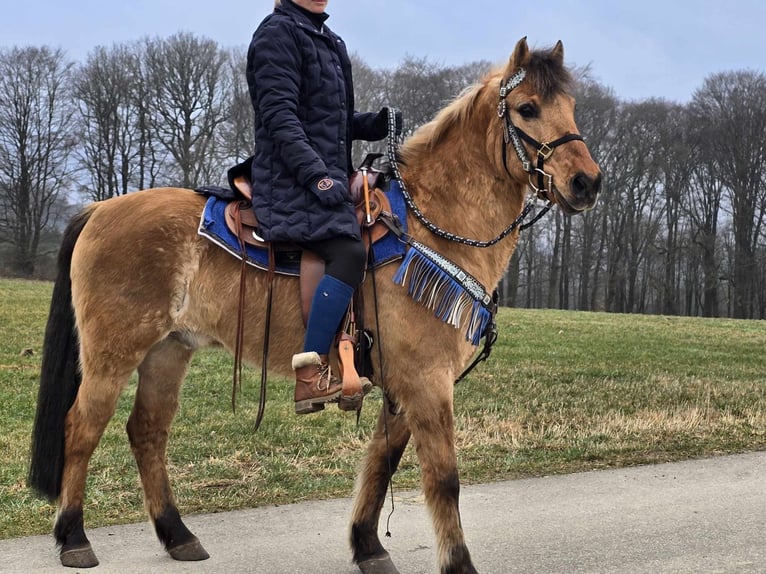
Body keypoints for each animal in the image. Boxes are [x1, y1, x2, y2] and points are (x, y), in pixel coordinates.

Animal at [30, 38, 604, 572]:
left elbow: (381, 463)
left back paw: (177, 535)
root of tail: (99, 208)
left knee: (147, 432)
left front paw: (367, 545)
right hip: (113, 353)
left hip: (168, 351)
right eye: (527, 108)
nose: (587, 182)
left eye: (571, 106)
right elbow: (443, 479)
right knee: (81, 428)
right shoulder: (427, 381)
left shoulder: (405, 386)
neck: (430, 224)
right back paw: (74, 538)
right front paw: (457, 563)